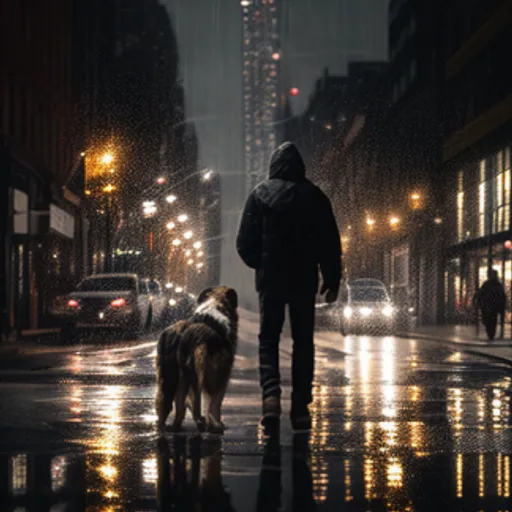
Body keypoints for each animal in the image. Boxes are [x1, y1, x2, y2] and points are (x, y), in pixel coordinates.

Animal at [155, 286, 239, 434]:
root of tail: (182, 334)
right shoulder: (221, 373)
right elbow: (214, 402)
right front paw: (217, 425)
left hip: (170, 375)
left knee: (169, 404)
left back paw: (173, 426)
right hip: (196, 370)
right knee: (195, 402)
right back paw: (201, 423)